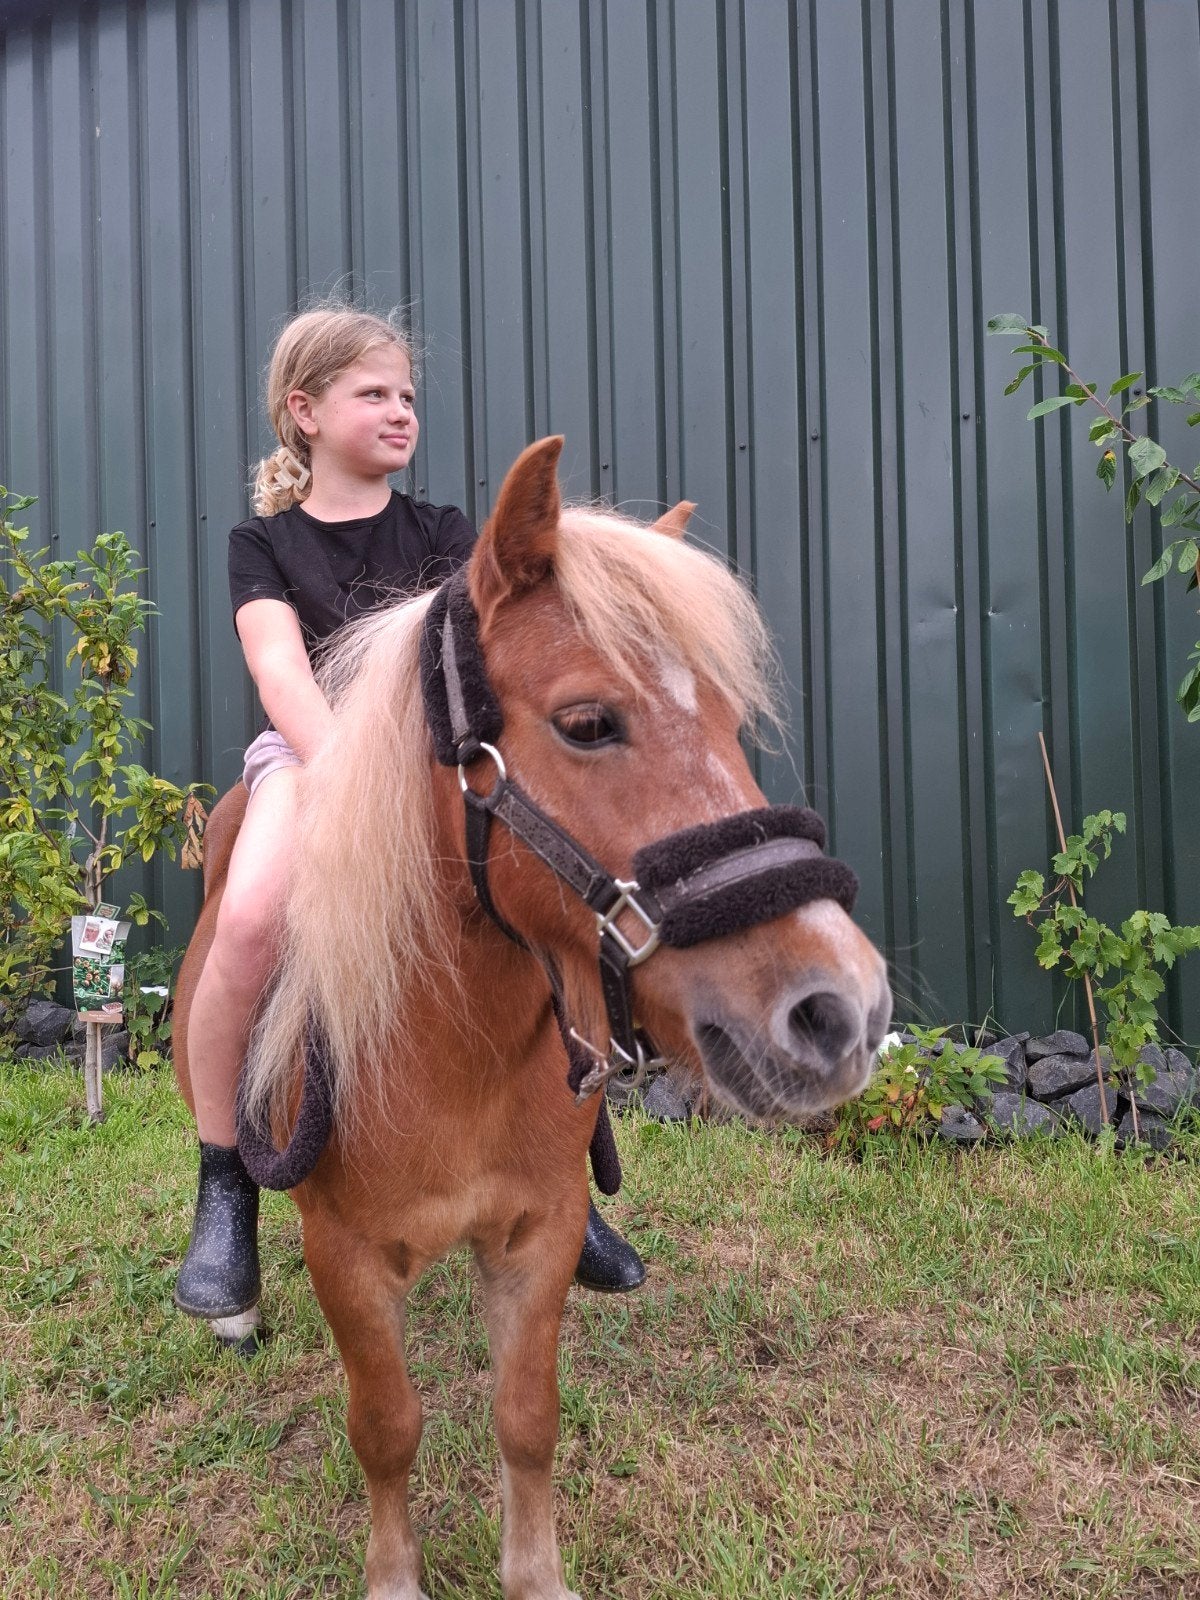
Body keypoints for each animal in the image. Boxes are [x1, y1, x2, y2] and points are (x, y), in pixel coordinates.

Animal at [173, 436, 891, 1600]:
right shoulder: (344, 1255)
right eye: (588, 723)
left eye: (732, 725)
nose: (842, 1009)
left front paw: (535, 1571)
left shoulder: (538, 1234)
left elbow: (526, 1417)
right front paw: (394, 1577)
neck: (446, 1051)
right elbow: (387, 1426)